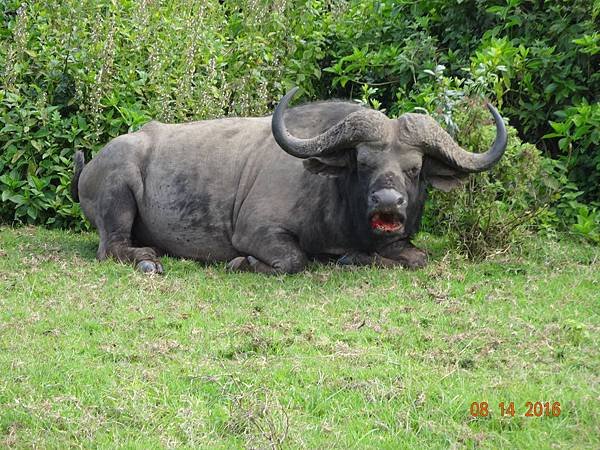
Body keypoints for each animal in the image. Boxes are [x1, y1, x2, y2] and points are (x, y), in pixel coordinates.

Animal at [72, 86, 508, 272]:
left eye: (414, 168)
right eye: (363, 163)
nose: (387, 202)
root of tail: (91, 167)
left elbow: (417, 257)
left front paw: (352, 257)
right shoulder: (256, 232)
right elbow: (294, 259)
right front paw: (244, 263)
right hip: (119, 193)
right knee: (112, 247)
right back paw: (147, 260)